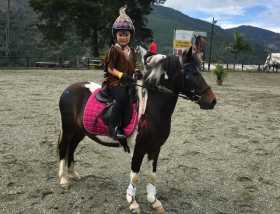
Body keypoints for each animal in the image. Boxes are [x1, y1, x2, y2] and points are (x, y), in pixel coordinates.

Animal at [57, 47, 217, 214]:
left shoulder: (155, 148)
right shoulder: (139, 149)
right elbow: (135, 176)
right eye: (190, 73)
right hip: (68, 130)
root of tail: (69, 89)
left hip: (79, 132)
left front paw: (154, 201)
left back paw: (72, 174)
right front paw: (133, 202)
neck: (150, 110)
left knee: (71, 148)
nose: (212, 101)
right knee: (63, 149)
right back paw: (63, 179)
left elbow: (152, 175)